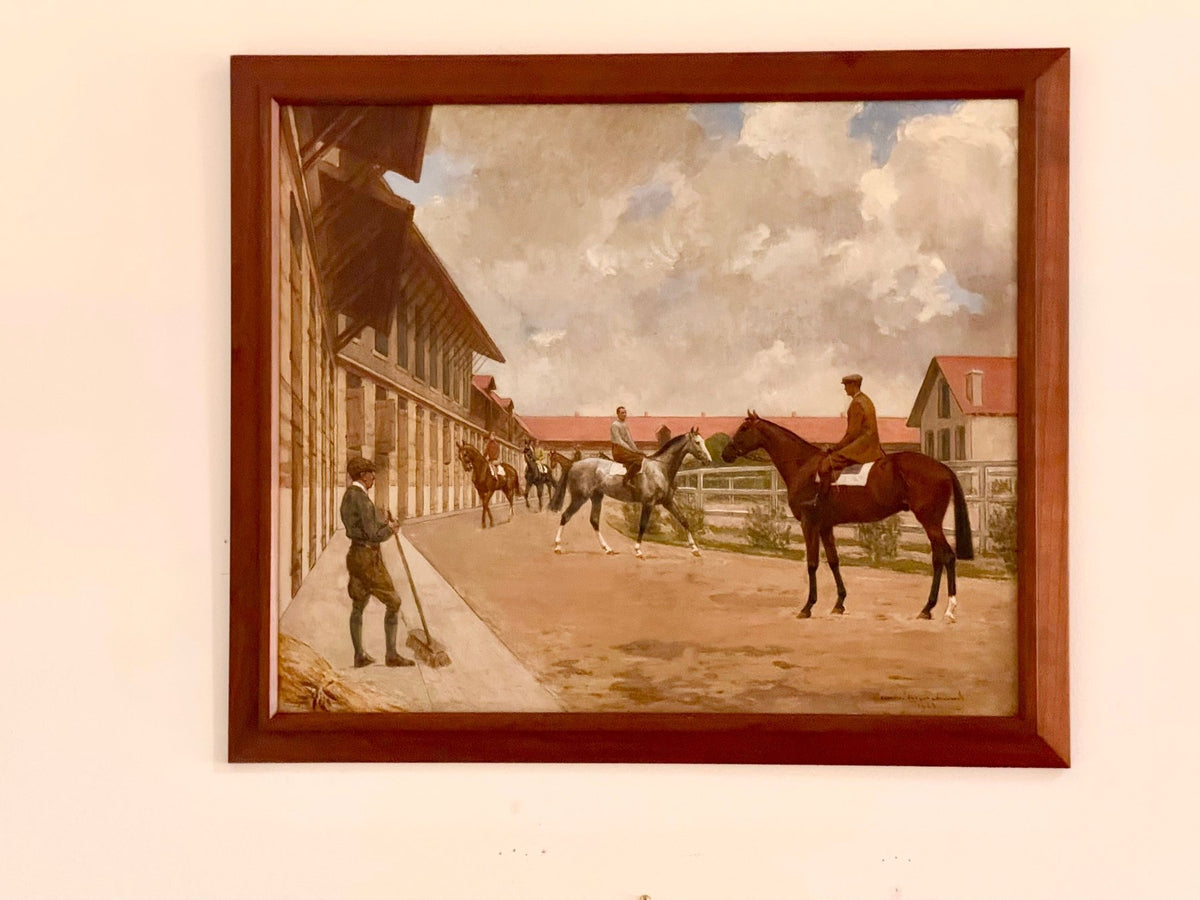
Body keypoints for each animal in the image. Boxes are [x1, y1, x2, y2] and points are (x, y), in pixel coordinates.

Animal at [552, 427, 710, 561]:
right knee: (565, 516)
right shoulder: (648, 503)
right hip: (579, 498)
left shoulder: (668, 501)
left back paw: (607, 549)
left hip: (596, 497)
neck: (660, 468)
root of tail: (574, 464)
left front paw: (695, 549)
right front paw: (638, 550)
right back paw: (558, 546)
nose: (708, 460)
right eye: (697, 442)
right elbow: (643, 525)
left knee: (594, 521)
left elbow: (684, 520)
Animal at [715, 415, 969, 619]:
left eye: (743, 429)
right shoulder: (825, 526)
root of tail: (942, 468)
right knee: (938, 559)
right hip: (931, 523)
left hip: (930, 522)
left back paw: (948, 609)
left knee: (947, 557)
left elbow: (812, 564)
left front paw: (807, 607)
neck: (804, 466)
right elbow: (834, 561)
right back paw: (928, 609)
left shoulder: (809, 524)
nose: (725, 453)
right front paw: (839, 603)